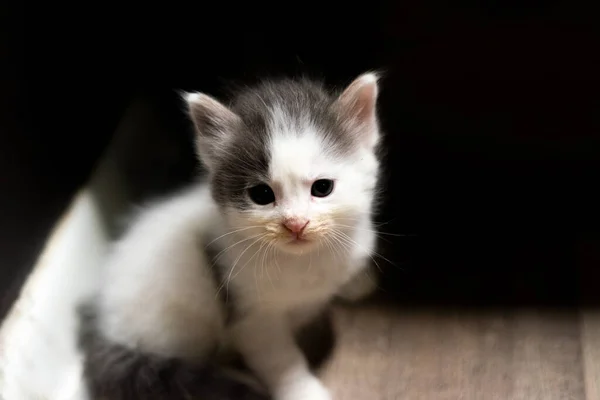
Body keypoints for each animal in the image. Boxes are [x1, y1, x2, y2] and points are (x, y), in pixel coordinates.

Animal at [79, 72, 382, 400]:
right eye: (261, 195)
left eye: (322, 187)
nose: (295, 224)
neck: (306, 262)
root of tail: (102, 322)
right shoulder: (248, 313)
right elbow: (280, 359)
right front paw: (302, 391)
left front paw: (358, 284)